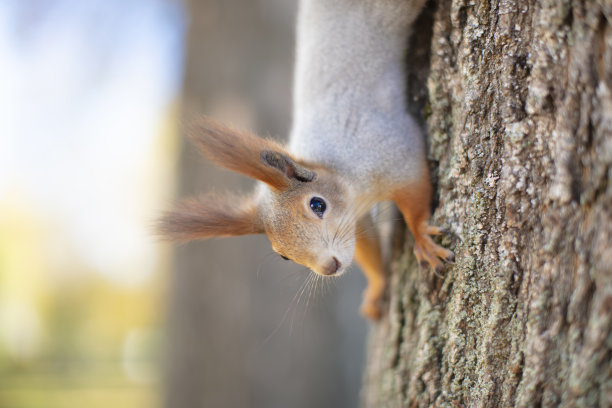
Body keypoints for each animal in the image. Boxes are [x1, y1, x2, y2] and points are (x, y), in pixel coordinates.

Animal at [158, 0, 454, 320]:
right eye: (283, 256)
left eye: (317, 205)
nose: (329, 267)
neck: (338, 169)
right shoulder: (355, 216)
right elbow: (367, 249)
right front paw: (377, 287)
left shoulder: (392, 151)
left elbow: (415, 194)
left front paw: (422, 237)